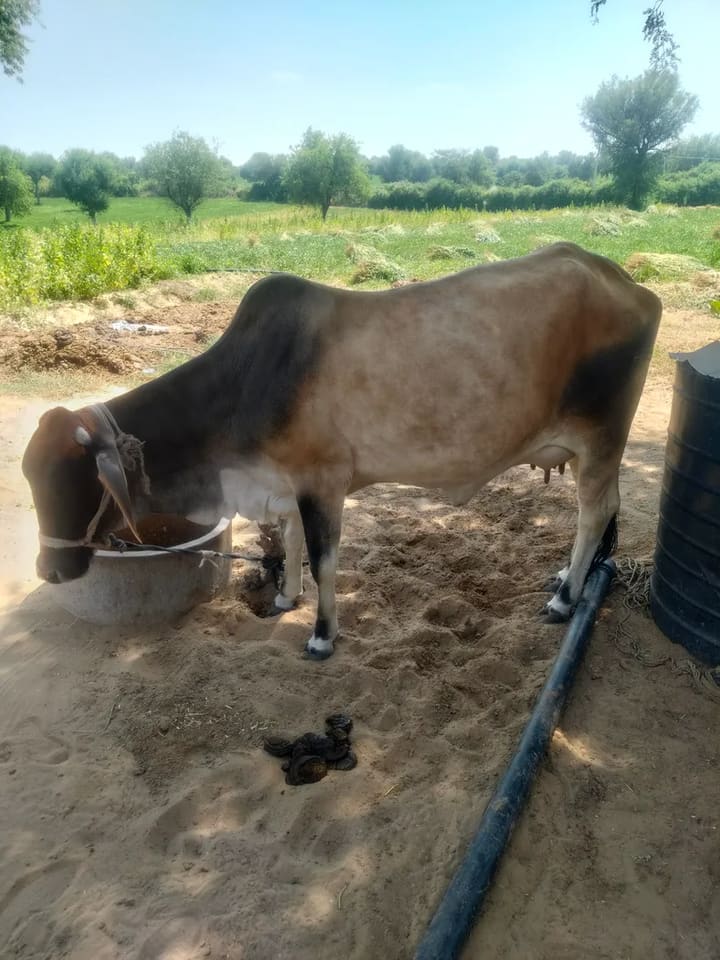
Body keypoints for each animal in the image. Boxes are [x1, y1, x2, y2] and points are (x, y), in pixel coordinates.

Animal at [22, 242, 661, 659]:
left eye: (75, 480)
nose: (49, 570)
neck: (245, 384)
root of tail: (628, 284)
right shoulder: (288, 484)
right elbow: (292, 543)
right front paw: (285, 597)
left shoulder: (323, 482)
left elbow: (323, 558)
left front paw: (322, 634)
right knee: (598, 515)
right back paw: (570, 575)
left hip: (601, 438)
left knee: (595, 512)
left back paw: (565, 599)